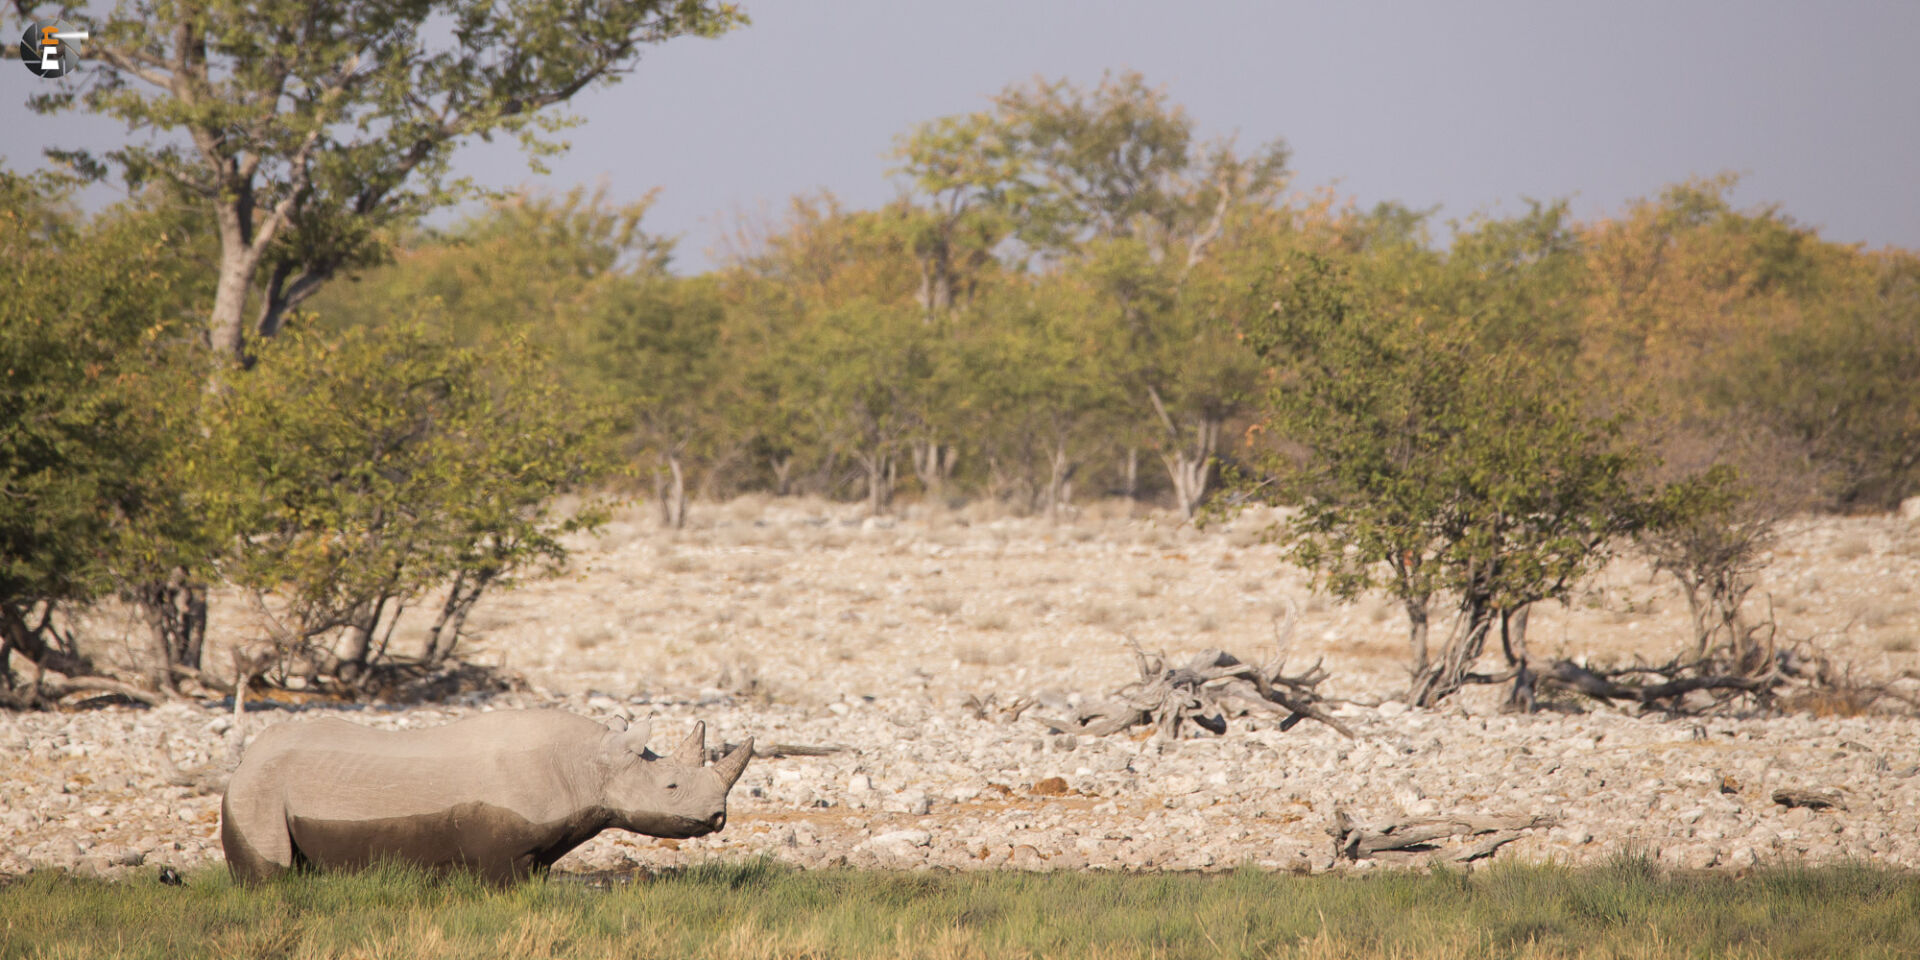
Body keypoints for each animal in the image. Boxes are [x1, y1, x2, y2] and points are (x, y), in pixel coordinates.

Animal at [219, 709, 752, 884]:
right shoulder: (501, 850)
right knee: (272, 874)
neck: (586, 766)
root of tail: (243, 760)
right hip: (257, 789)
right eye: (671, 787)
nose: (718, 818)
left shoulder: (539, 845)